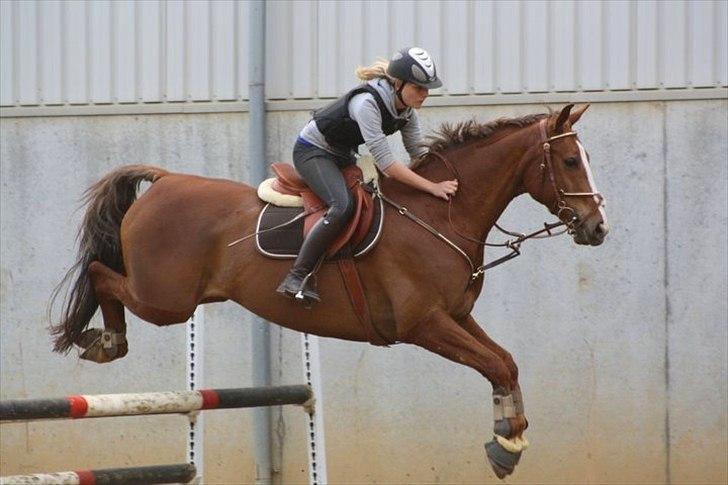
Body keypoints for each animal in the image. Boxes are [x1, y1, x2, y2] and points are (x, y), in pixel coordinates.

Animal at [49, 104, 608, 478]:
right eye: (570, 162)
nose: (597, 227)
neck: (438, 215)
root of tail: (164, 180)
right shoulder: (423, 325)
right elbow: (493, 363)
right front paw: (504, 444)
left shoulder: (457, 317)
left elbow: (505, 362)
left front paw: (508, 441)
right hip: (164, 300)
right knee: (99, 272)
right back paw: (105, 341)